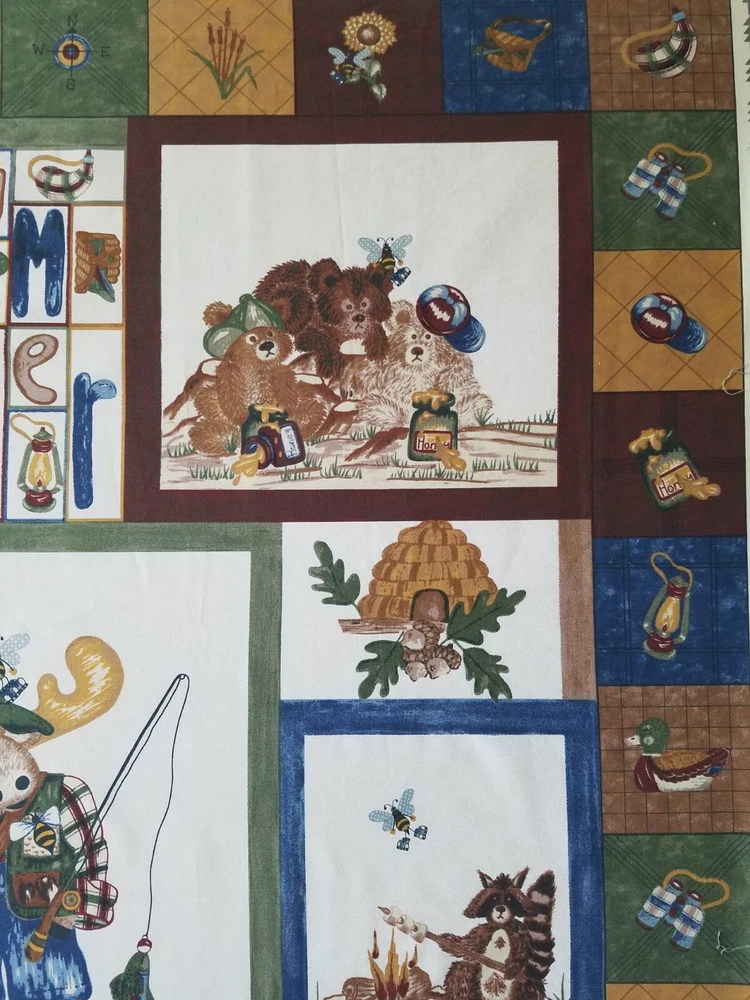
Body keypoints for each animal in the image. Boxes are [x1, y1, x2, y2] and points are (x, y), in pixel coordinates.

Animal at [183, 327, 328, 458]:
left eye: (270, 333)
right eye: (252, 338)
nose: (267, 345)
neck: (260, 368)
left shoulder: (281, 372)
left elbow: (287, 390)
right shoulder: (229, 374)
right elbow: (229, 395)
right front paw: (241, 415)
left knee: (314, 412)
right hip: (221, 425)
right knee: (201, 432)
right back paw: (225, 449)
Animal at [253, 257, 393, 383]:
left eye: (365, 304)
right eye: (348, 306)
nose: (359, 317)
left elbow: (376, 329)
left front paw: (378, 349)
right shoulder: (306, 333)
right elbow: (324, 341)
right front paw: (328, 365)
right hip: (294, 299)